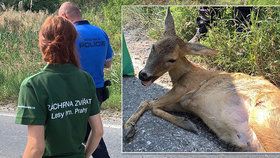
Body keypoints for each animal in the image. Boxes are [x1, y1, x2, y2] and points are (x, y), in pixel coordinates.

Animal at [124, 7, 280, 152]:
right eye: (153, 47)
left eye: (172, 59)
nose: (144, 75)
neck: (184, 74)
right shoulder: (182, 103)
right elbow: (149, 103)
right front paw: (128, 128)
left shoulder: (183, 88)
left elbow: (150, 104)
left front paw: (187, 124)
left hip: (263, 118)